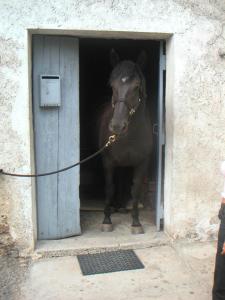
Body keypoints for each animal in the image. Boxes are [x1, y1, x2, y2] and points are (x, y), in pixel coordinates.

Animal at [99, 49, 154, 234]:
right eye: (112, 86)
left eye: (136, 86)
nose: (117, 126)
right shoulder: (108, 162)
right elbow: (109, 188)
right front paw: (107, 220)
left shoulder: (142, 163)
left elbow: (135, 190)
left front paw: (136, 223)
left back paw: (121, 207)